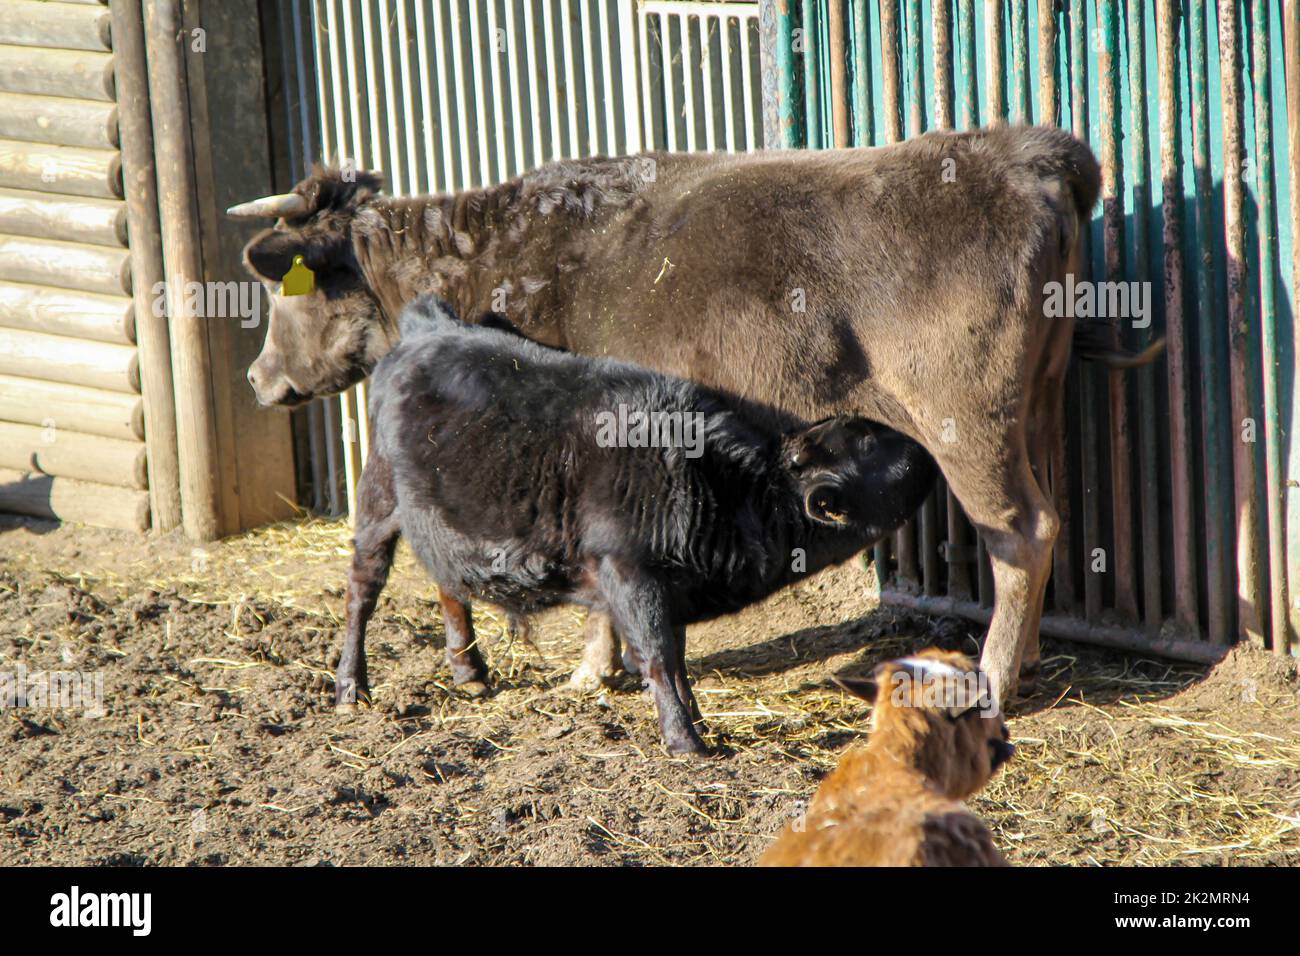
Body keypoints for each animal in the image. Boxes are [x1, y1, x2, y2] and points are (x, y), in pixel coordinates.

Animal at [232, 124, 1160, 705]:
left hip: (969, 423)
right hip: (1038, 406)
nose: (256, 377)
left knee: (1023, 532)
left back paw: (994, 680)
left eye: (283, 291)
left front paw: (590, 670)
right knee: (1052, 521)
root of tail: (1022, 150)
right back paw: (1026, 658)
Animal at [342, 294, 936, 753]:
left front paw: (696, 722)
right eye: (868, 441)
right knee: (362, 590)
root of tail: (430, 329)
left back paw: (469, 674)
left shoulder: (671, 589)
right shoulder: (629, 573)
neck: (714, 485)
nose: (924, 447)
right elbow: (657, 657)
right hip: (377, 502)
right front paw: (685, 740)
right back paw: (352, 687)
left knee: (448, 587)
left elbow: (678, 658)